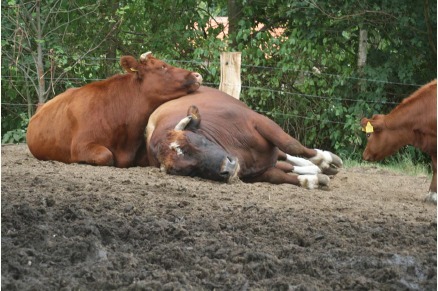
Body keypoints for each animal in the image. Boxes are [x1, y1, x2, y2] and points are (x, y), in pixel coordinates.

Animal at [145, 86, 344, 190]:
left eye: (197, 140)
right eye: (190, 170)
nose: (228, 168)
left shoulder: (259, 120)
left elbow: (291, 145)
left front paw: (324, 160)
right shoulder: (256, 173)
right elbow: (279, 176)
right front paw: (312, 180)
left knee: (285, 153)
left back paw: (324, 163)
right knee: (285, 164)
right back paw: (314, 170)